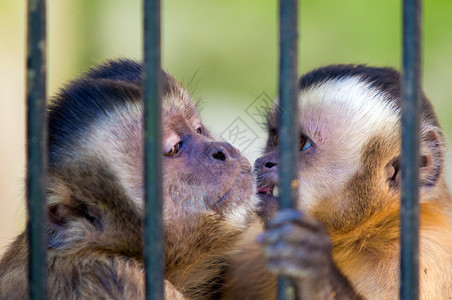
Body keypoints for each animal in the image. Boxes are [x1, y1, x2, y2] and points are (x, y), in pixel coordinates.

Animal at [224, 65, 452, 300]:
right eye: (276, 139)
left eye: (302, 143)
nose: (264, 162)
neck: (372, 230)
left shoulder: (427, 256)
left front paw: (315, 273)